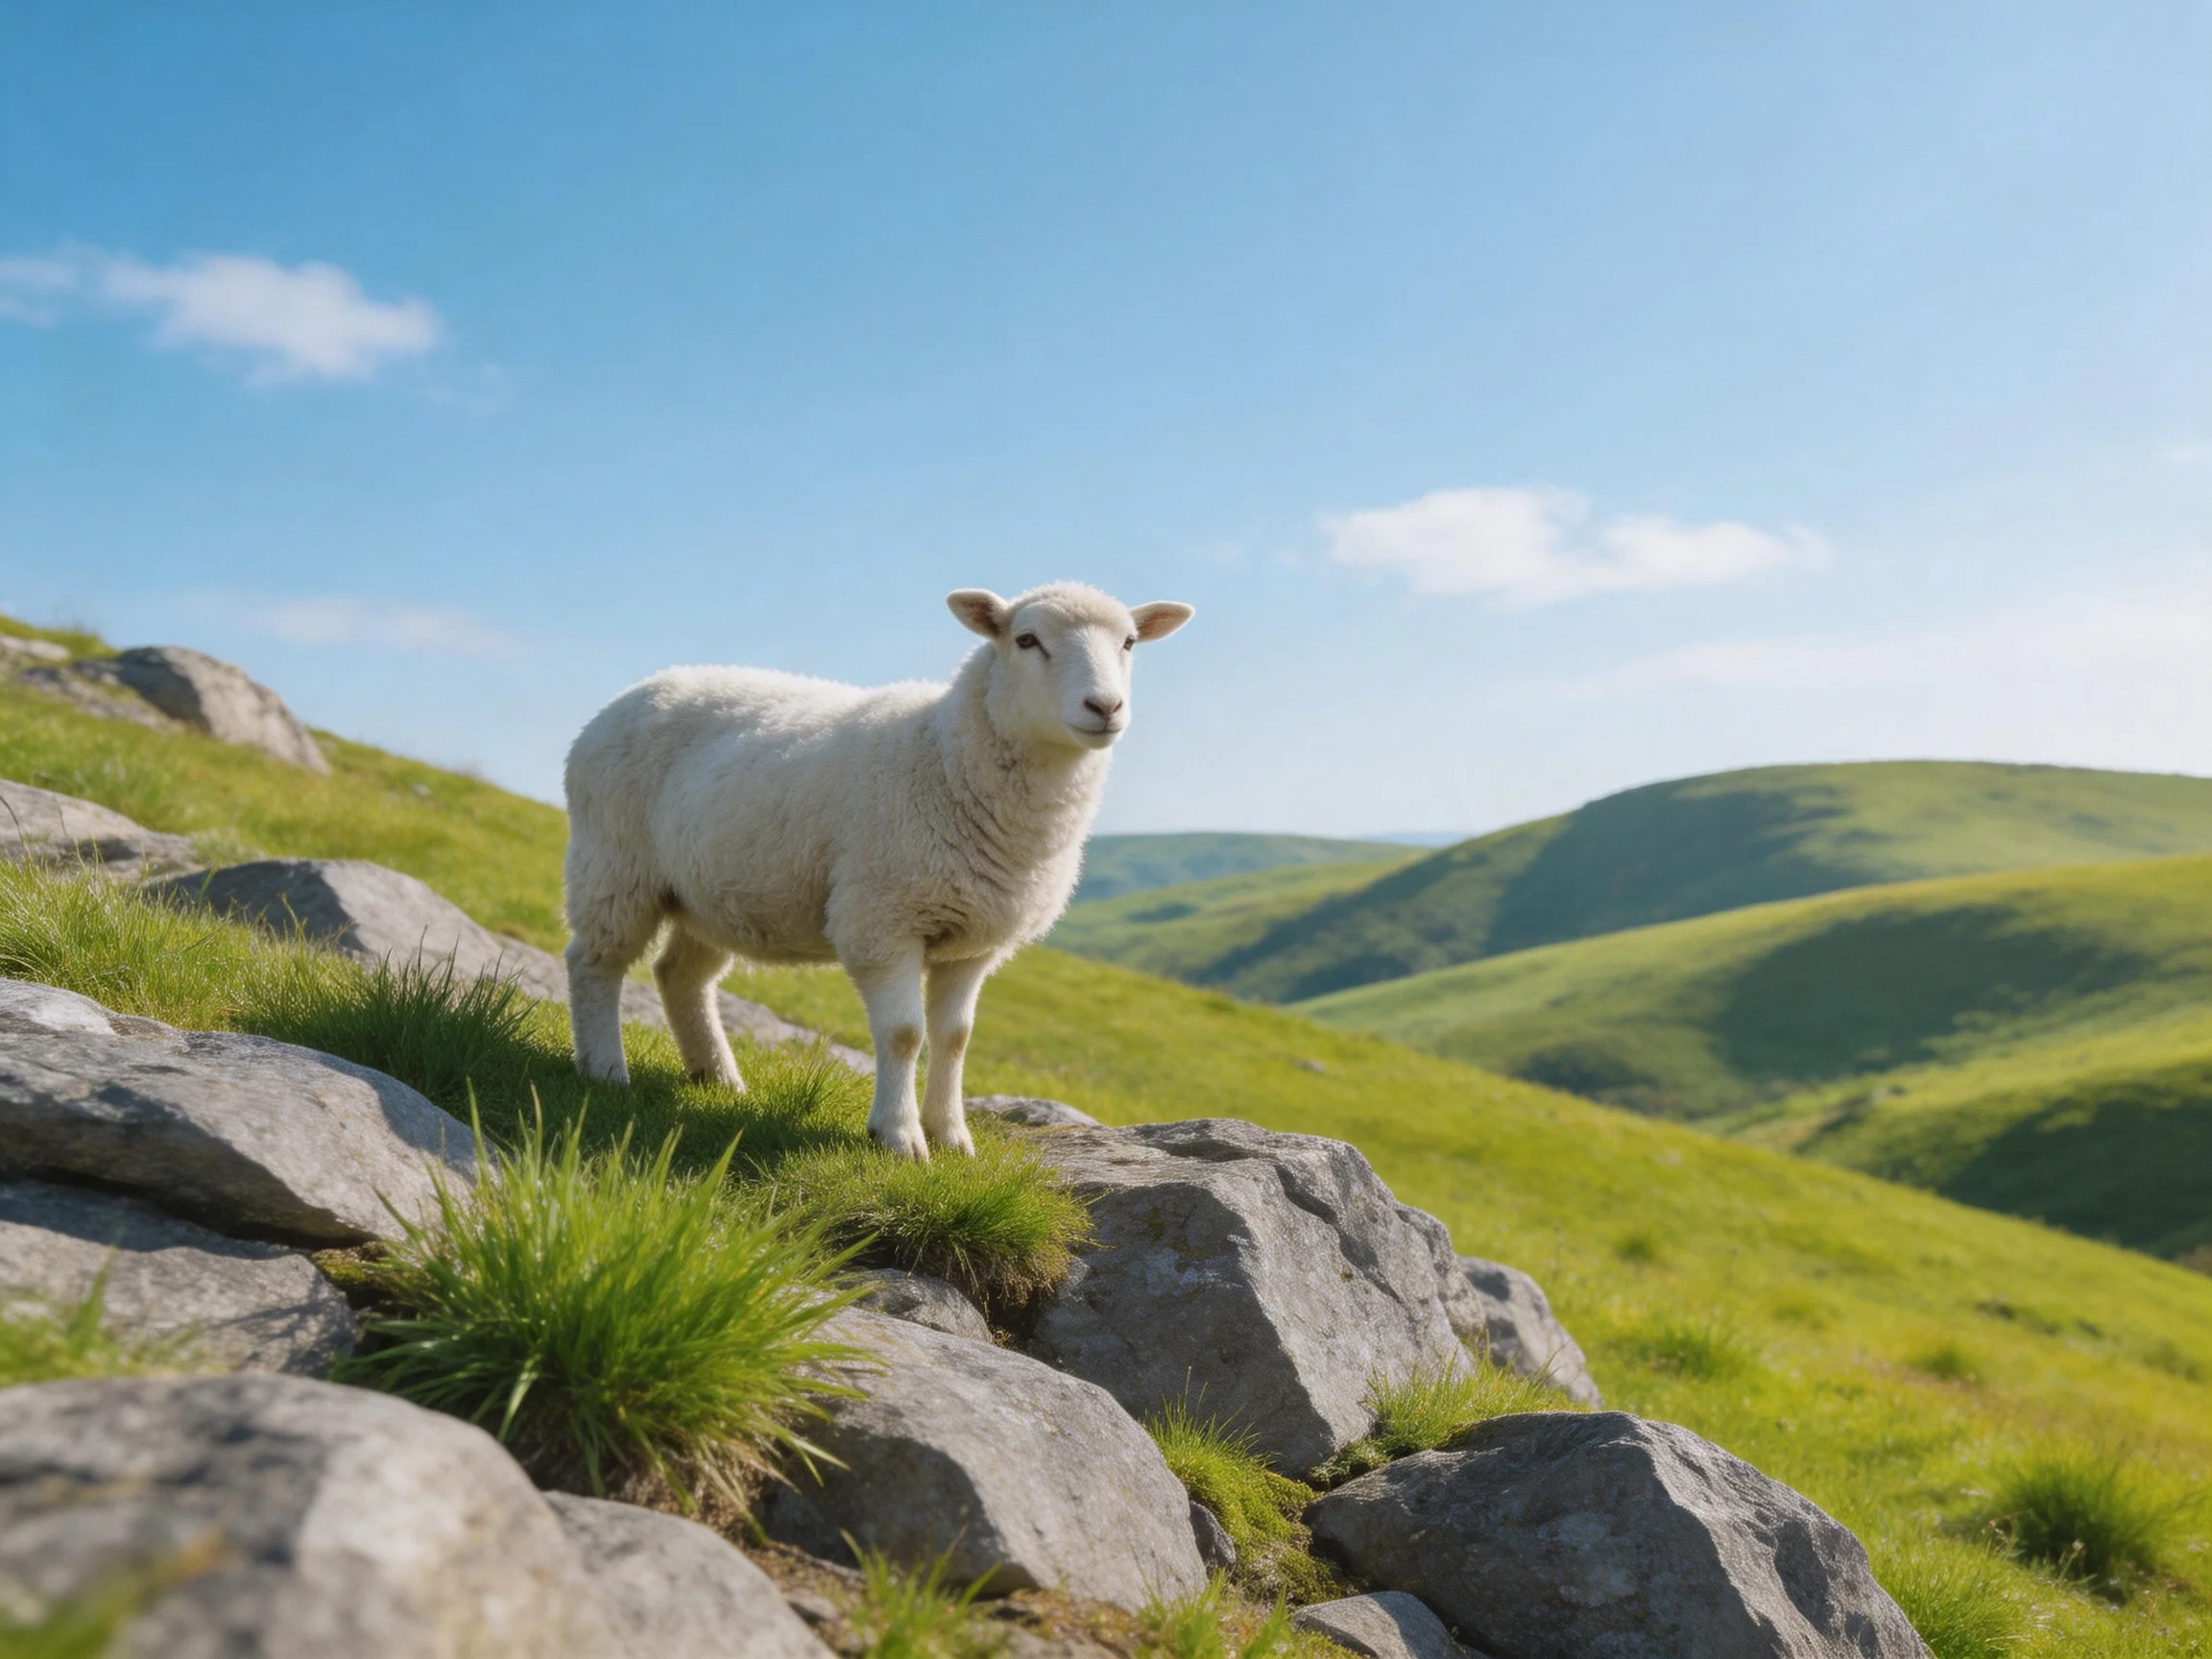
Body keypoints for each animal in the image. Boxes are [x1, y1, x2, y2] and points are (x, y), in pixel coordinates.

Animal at [561, 582, 1194, 1158]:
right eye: (1026, 640)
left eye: (1129, 643)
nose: (1105, 708)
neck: (944, 755)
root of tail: (637, 690)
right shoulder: (882, 920)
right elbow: (904, 1033)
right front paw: (899, 1135)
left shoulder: (974, 941)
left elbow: (955, 1038)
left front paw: (952, 1137)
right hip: (613, 863)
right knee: (595, 962)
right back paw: (605, 1069)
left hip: (712, 892)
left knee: (679, 976)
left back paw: (717, 1077)